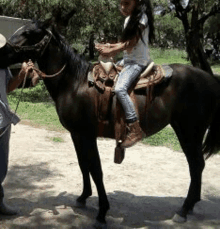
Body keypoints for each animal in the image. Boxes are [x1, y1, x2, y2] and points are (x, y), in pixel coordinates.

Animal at [1, 19, 220, 227]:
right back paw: (190, 206)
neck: (74, 83)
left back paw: (184, 210)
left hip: (191, 131)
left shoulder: (87, 135)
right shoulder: (76, 134)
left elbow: (96, 170)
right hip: (183, 129)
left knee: (196, 165)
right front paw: (83, 197)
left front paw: (102, 213)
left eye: (28, 33)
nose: (2, 52)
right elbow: (83, 165)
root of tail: (210, 79)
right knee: (196, 165)